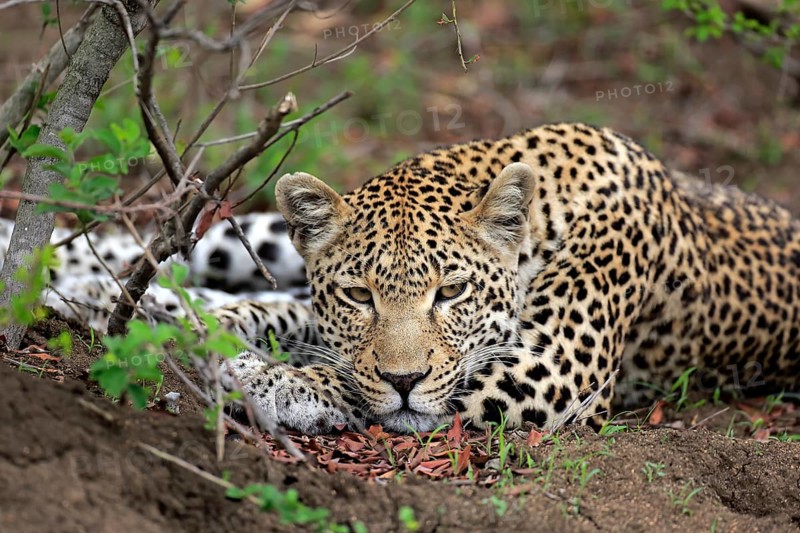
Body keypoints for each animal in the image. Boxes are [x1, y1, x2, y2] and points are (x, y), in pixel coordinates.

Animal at [221, 122, 800, 435]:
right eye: (359, 295)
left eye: (451, 291)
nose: (405, 381)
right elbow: (293, 318)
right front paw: (219, 331)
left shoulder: (554, 368)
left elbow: (360, 382)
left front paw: (272, 380)